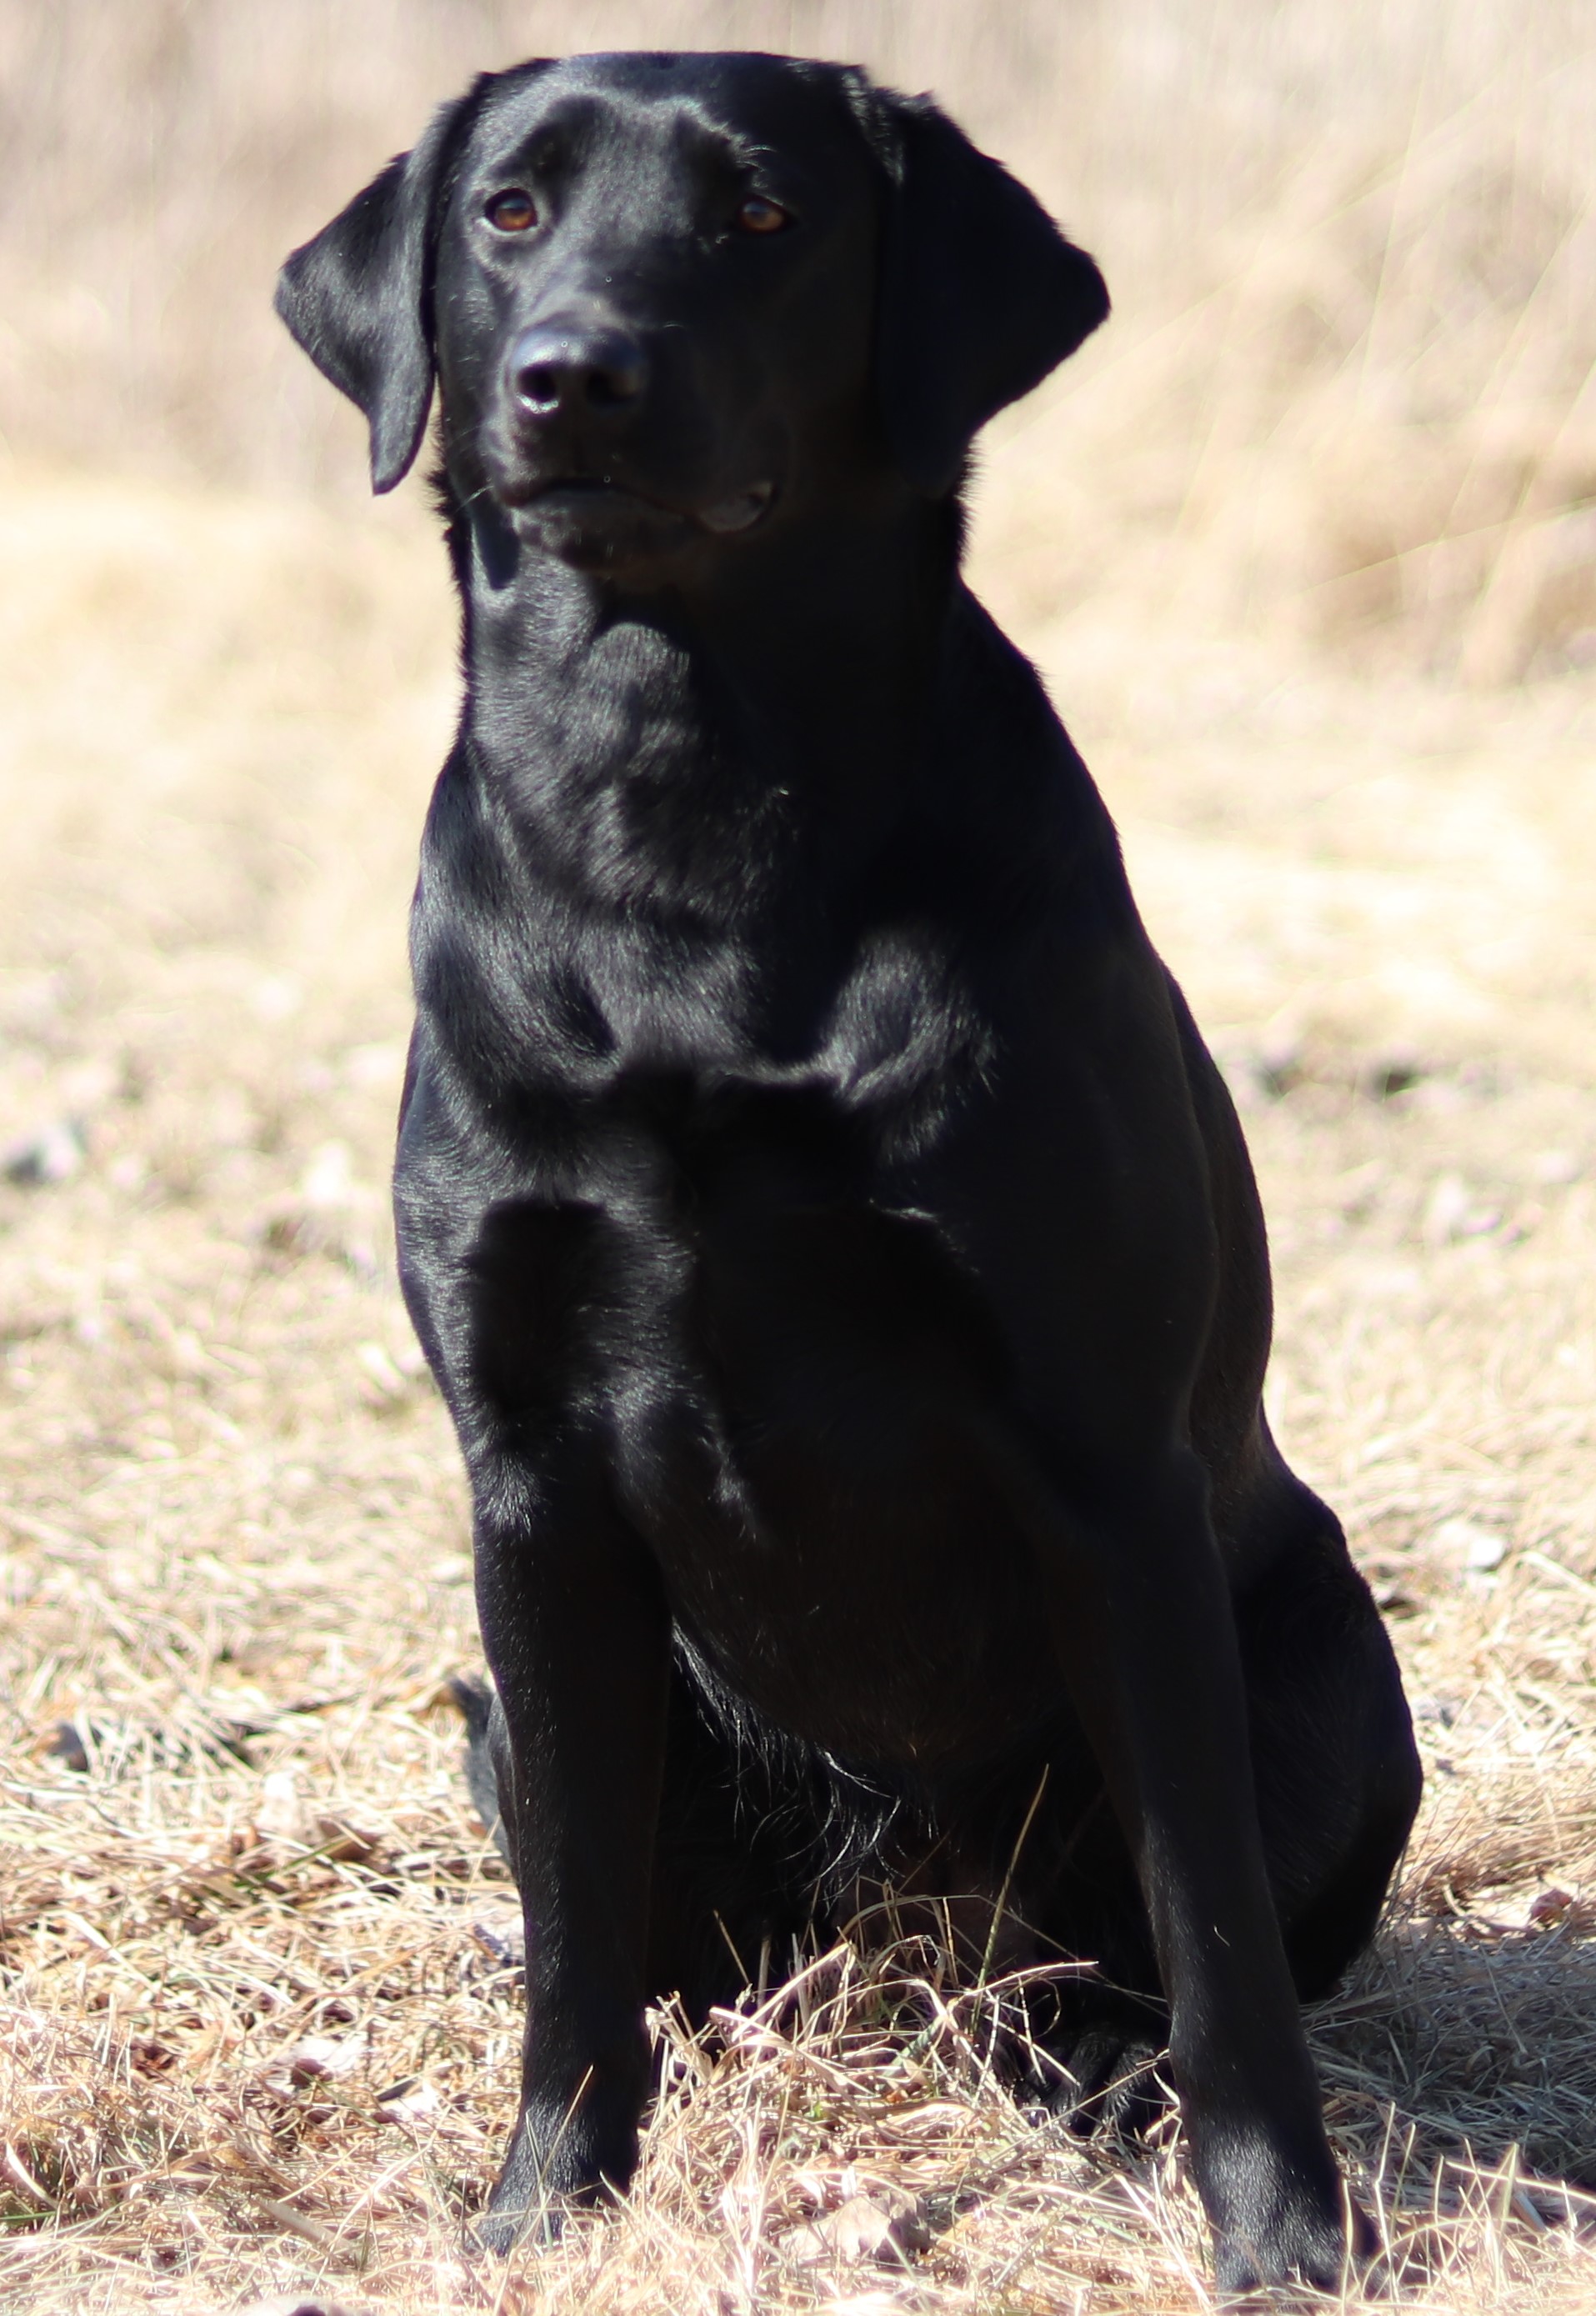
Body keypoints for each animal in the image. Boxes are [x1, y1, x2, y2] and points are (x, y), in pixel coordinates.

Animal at [277, 45, 1417, 2288]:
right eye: (510, 210)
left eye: (764, 218)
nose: (570, 377)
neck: (687, 793)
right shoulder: (527, 1483)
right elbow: (574, 1945)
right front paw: (545, 2204)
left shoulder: (1106, 1466)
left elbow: (1217, 1930)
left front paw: (1279, 2239)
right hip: (504, 1705)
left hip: (1326, 1653)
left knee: (1150, 1948)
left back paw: (1094, 2074)